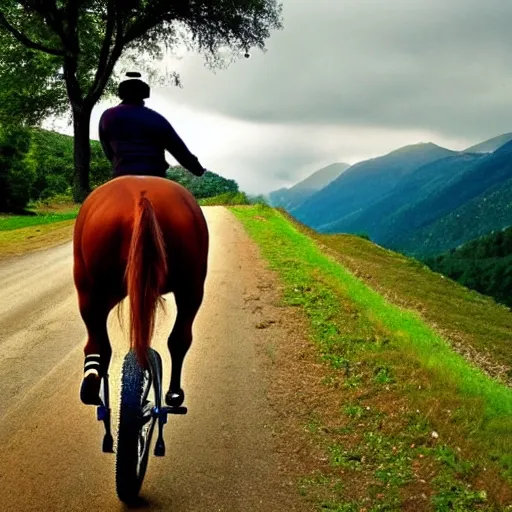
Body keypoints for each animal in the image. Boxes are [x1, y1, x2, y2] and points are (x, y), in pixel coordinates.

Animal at [72, 176, 208, 408]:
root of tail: (141, 197)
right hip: (190, 287)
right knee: (178, 339)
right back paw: (172, 394)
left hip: (92, 287)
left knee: (100, 341)